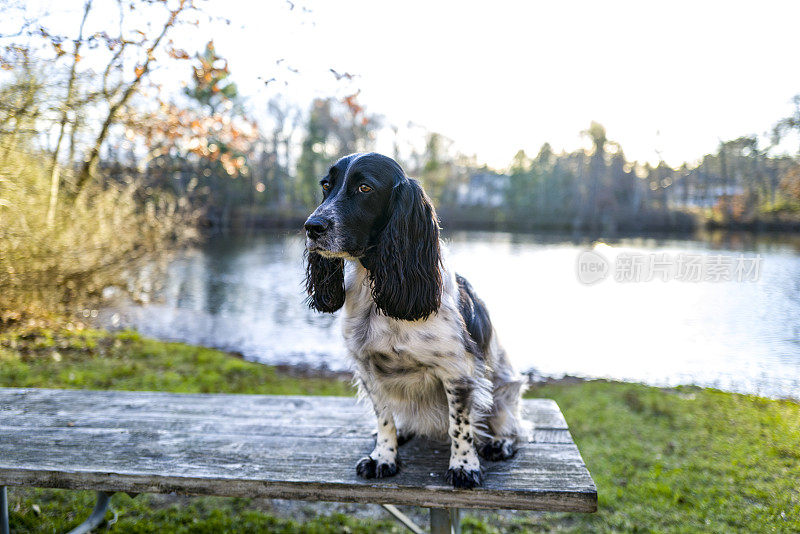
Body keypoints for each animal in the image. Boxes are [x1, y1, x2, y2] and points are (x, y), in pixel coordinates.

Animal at [304, 154, 528, 490]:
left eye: (365, 187)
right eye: (326, 185)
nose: (311, 226)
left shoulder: (458, 372)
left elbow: (460, 425)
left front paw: (464, 466)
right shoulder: (368, 368)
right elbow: (384, 417)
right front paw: (383, 457)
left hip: (505, 389)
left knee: (516, 425)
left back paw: (499, 443)